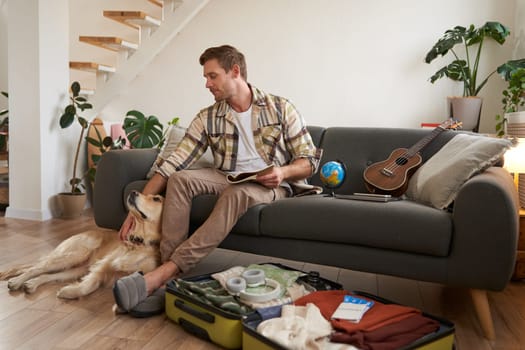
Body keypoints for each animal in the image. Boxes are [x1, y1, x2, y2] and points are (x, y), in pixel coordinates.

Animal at [0, 190, 163, 300]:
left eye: (156, 199)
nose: (133, 192)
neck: (140, 243)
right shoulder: (104, 265)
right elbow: (87, 286)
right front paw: (69, 292)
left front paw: (68, 291)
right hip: (74, 255)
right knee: (35, 268)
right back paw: (16, 281)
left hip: (76, 268)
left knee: (45, 274)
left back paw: (31, 284)